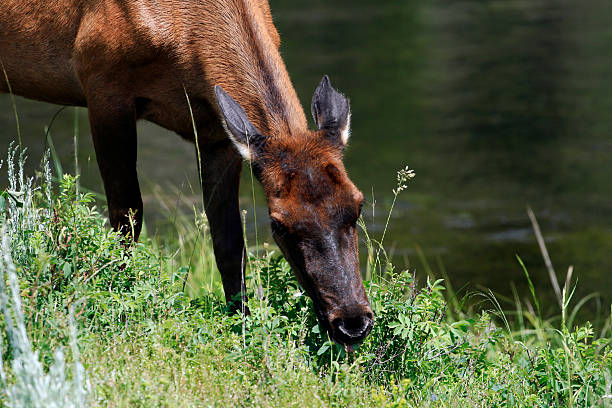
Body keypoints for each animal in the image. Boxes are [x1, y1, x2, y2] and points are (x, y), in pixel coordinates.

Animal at [1, 0, 372, 344]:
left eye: (358, 204)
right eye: (278, 224)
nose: (353, 323)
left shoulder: (217, 133)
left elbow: (229, 242)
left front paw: (242, 327)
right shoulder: (100, 80)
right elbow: (126, 217)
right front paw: (122, 303)